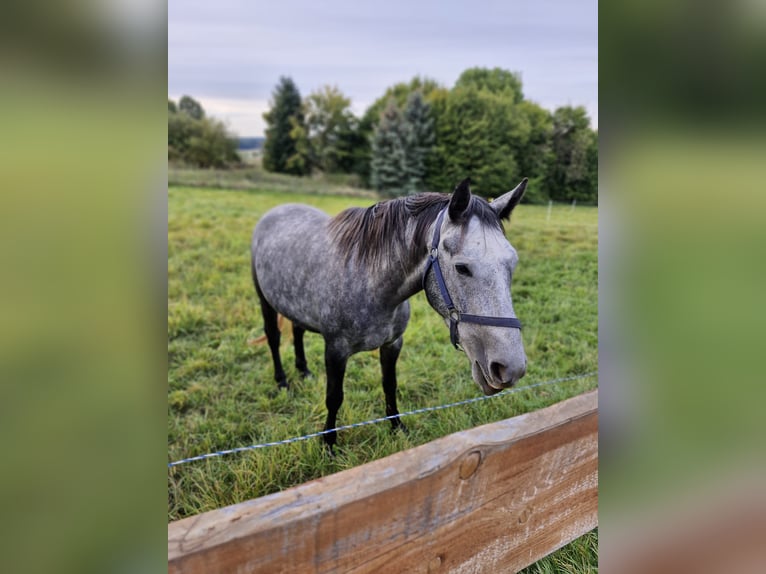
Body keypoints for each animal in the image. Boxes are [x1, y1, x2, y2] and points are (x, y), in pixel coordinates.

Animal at [252, 179, 528, 450]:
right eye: (462, 268)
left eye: (513, 263)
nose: (510, 368)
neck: (370, 283)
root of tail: (277, 211)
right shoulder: (335, 350)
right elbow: (334, 397)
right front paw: (328, 442)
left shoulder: (393, 344)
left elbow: (389, 385)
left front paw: (396, 427)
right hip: (264, 300)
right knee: (273, 338)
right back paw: (282, 382)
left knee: (297, 329)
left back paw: (304, 371)